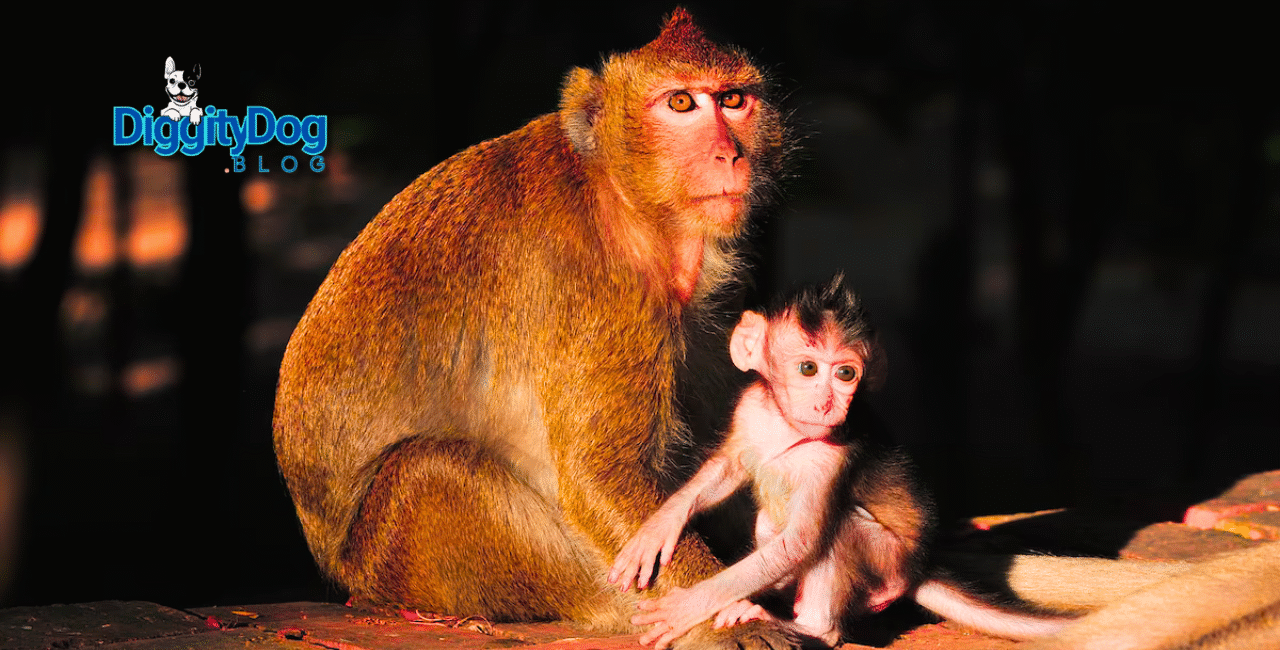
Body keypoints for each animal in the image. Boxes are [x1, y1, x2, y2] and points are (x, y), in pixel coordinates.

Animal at [273, 9, 793, 650]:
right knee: (428, 471)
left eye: (733, 100)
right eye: (680, 103)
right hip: (407, 567)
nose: (729, 156)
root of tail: (347, 578)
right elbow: (602, 478)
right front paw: (720, 614)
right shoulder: (594, 285)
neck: (619, 195)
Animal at [610, 276, 1073, 648]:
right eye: (808, 369)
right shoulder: (750, 410)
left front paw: (692, 604)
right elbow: (729, 466)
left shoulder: (829, 457)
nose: (827, 405)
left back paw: (812, 627)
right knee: (771, 524)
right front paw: (660, 525)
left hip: (887, 563)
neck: (787, 428)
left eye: (846, 374)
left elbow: (801, 543)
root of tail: (917, 569)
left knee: (838, 531)